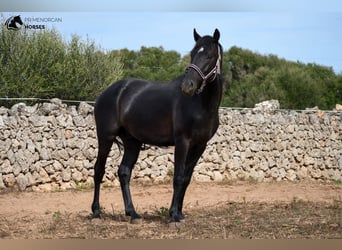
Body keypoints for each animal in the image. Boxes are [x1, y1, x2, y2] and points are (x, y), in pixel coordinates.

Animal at [92, 27, 223, 223]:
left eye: (209, 55)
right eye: (192, 53)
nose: (188, 86)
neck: (202, 104)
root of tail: (107, 93)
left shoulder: (200, 145)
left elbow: (186, 178)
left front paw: (179, 213)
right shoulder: (182, 141)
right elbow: (178, 177)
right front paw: (174, 216)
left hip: (132, 142)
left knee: (124, 172)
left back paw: (133, 213)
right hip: (105, 137)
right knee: (98, 170)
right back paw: (96, 212)